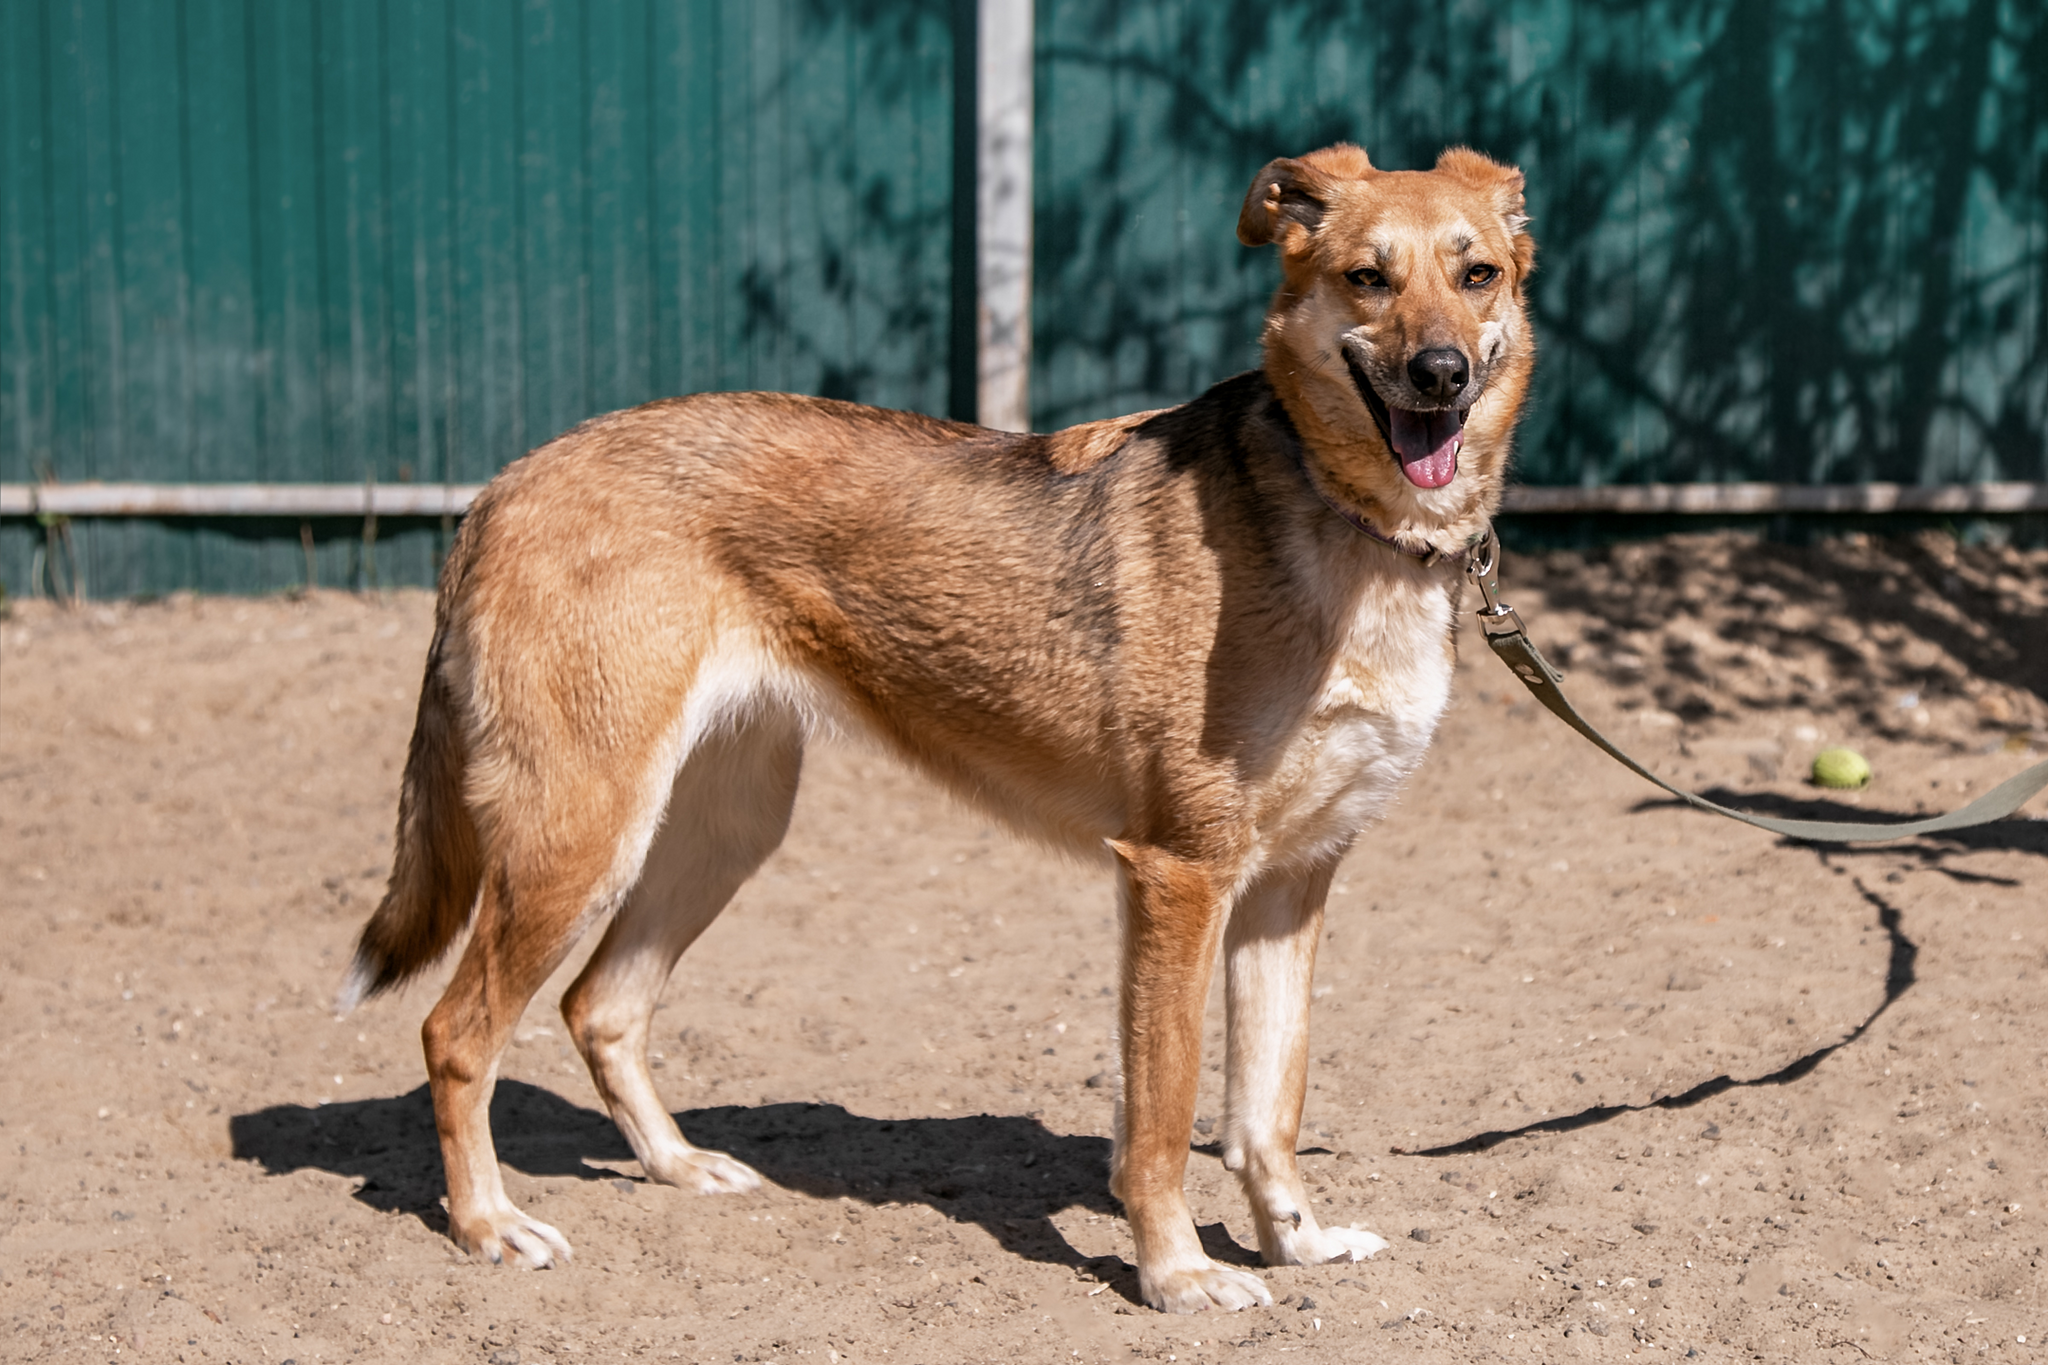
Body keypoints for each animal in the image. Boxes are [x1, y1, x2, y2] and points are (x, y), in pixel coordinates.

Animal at [344, 141, 1540, 1309]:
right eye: (1367, 278)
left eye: (1475, 274)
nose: (1440, 374)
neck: (1353, 530)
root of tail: (505, 484)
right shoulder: (1178, 876)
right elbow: (1160, 1121)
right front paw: (1176, 1274)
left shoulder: (1288, 888)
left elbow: (1265, 1112)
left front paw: (1295, 1244)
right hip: (580, 838)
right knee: (455, 1034)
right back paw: (487, 1224)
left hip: (719, 832)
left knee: (601, 1005)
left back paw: (677, 1165)